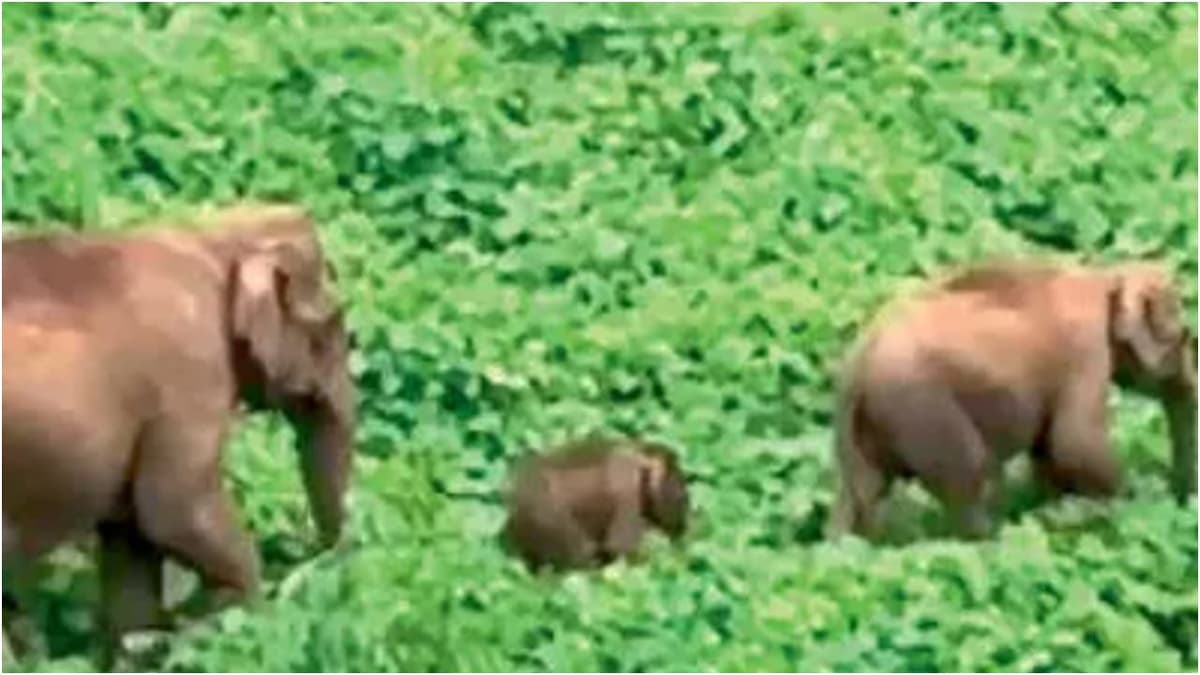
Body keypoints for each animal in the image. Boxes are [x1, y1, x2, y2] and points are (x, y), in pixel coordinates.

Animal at [2, 203, 356, 664]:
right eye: (332, 328)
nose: (310, 557)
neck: (211, 240)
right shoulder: (191, 377)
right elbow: (176, 512)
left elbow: (132, 541)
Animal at [826, 260, 1197, 540]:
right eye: (1185, 336)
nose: (1180, 501)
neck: (1106, 274)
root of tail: (855, 367)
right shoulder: (1084, 352)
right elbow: (1075, 444)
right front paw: (1130, 503)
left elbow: (1050, 453)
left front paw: (1058, 512)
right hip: (921, 409)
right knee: (974, 478)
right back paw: (990, 540)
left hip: (867, 430)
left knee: (863, 495)